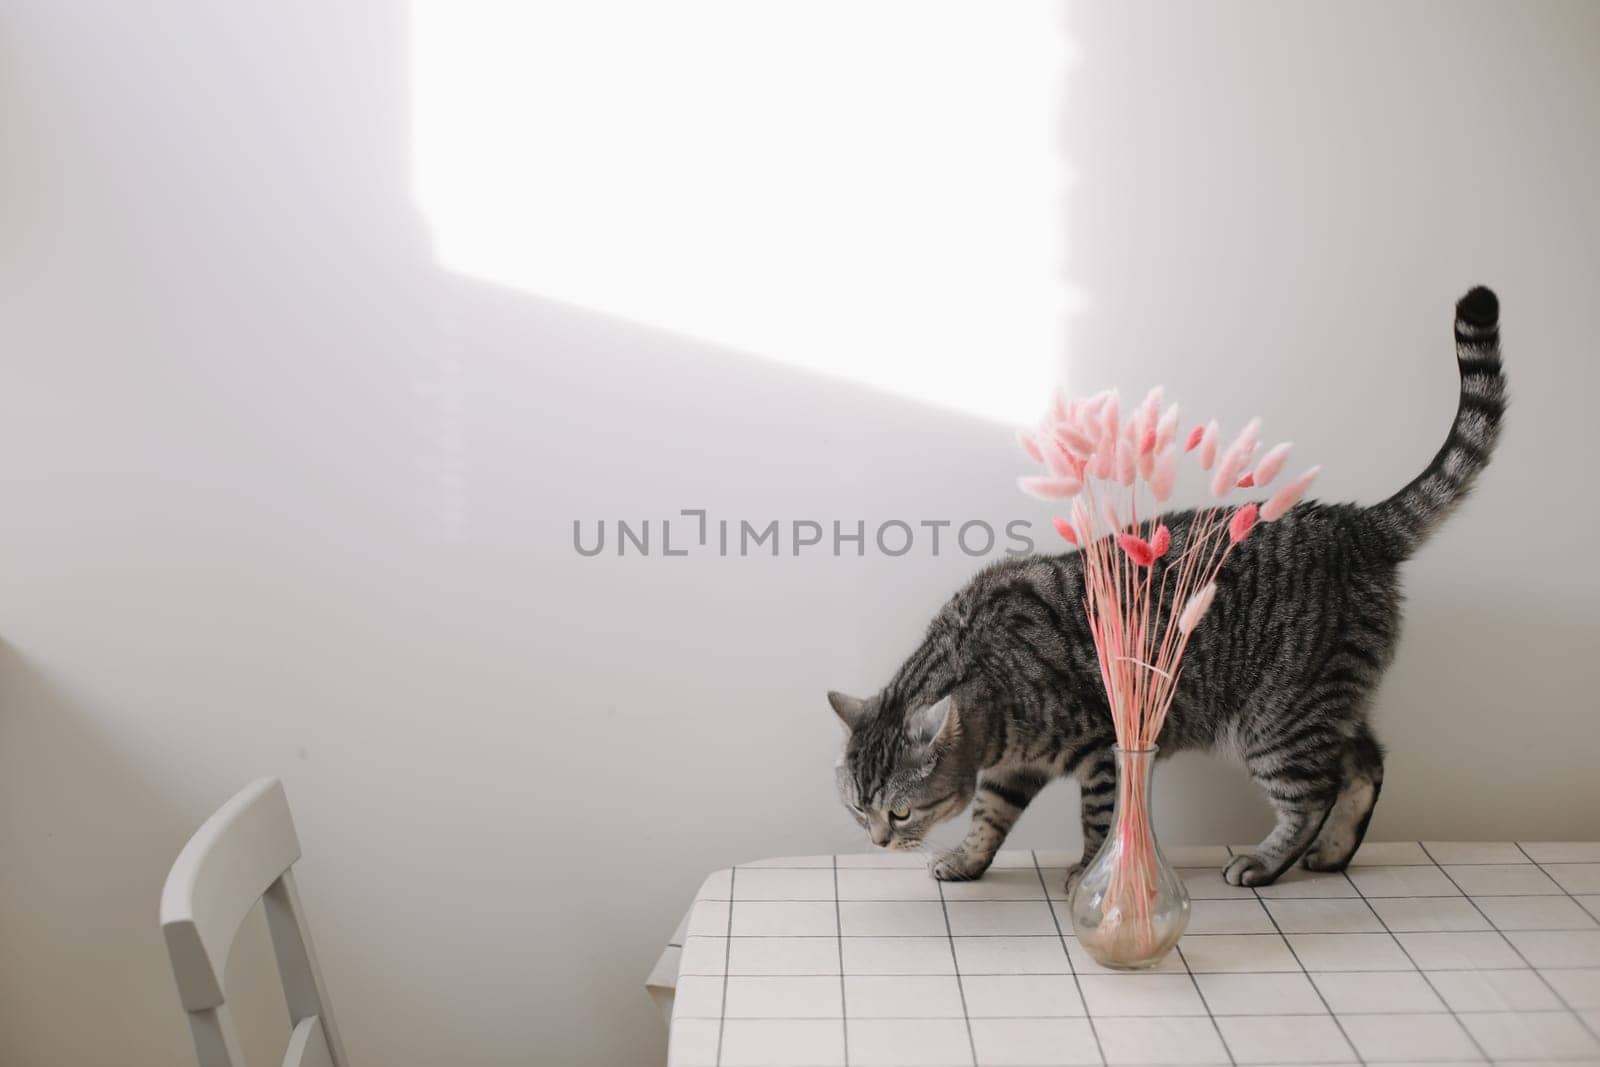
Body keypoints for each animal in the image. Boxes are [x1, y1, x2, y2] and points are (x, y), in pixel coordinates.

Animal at [832, 287, 1504, 889]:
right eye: (857, 808)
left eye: (900, 810)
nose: (878, 840)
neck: (990, 688)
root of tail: (1352, 524)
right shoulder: (1011, 771)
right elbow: (988, 820)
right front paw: (967, 861)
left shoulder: (1103, 747)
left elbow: (1097, 820)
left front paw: (1090, 873)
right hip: (1324, 703)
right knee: (1366, 764)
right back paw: (1334, 853)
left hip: (1276, 719)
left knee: (1314, 794)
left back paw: (1266, 862)